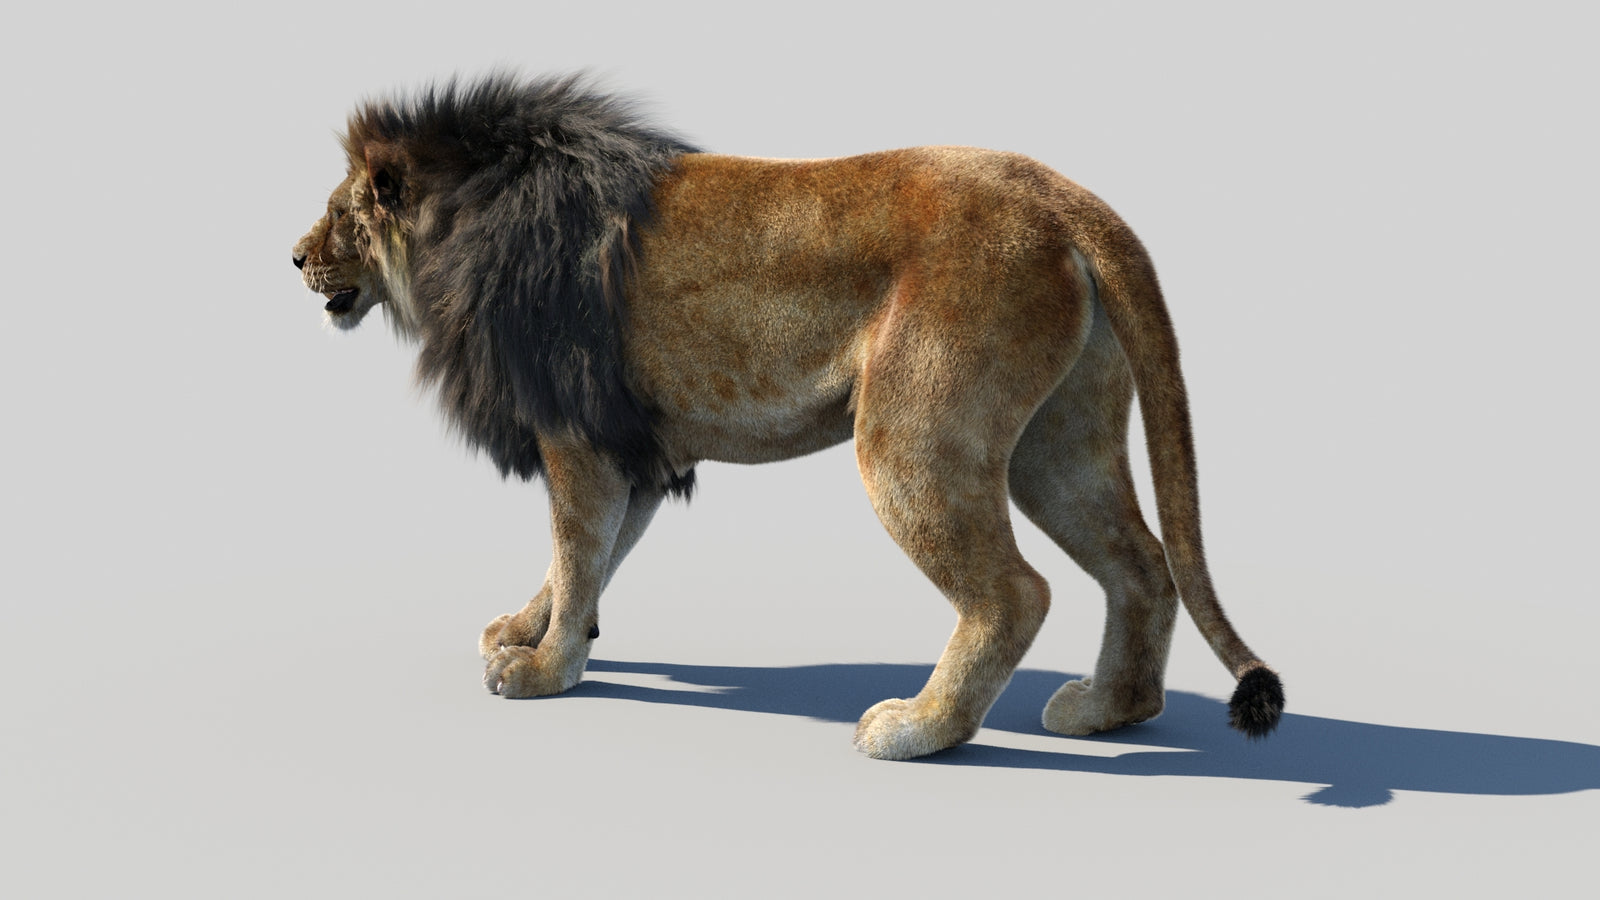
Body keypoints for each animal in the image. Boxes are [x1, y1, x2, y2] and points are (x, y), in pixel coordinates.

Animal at [292, 73, 1284, 760]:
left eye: (338, 212)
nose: (294, 256)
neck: (462, 221)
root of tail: (1065, 196)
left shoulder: (578, 435)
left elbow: (575, 553)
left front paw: (542, 672)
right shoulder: (635, 449)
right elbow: (588, 559)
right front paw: (529, 630)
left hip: (909, 437)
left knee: (1015, 592)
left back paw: (919, 729)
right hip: (1058, 443)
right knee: (1143, 565)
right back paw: (1110, 710)